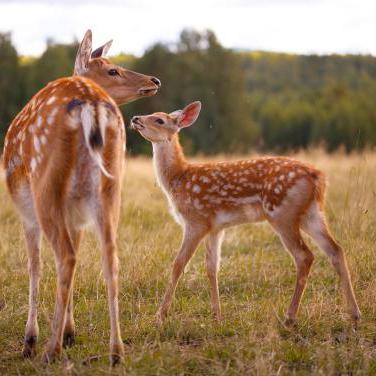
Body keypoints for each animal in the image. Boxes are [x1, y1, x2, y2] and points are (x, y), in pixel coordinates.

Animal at [3, 30, 162, 366]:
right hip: (110, 186)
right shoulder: (75, 212)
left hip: (45, 185)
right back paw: (116, 352)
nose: (154, 80)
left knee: (66, 257)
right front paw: (70, 332)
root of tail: (92, 106)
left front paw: (32, 339)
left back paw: (49, 350)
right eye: (112, 70)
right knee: (109, 256)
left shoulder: (25, 207)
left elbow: (34, 263)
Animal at [131, 102, 362, 326]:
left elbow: (178, 264)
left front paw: (160, 317)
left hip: (282, 213)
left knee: (305, 256)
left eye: (159, 120)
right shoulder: (215, 227)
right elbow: (211, 267)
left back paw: (290, 317)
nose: (135, 118)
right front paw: (217, 316)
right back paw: (354, 314)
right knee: (335, 249)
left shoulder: (195, 220)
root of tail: (318, 177)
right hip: (311, 213)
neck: (178, 178)